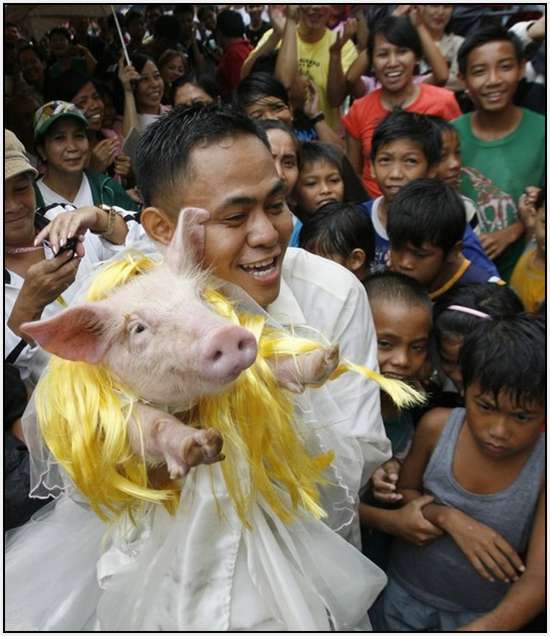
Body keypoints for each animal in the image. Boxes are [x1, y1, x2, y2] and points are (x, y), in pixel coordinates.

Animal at [22, 209, 340, 482]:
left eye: (199, 295)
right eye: (138, 328)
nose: (225, 335)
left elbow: (266, 368)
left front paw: (328, 357)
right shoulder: (113, 410)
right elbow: (148, 425)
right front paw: (201, 444)